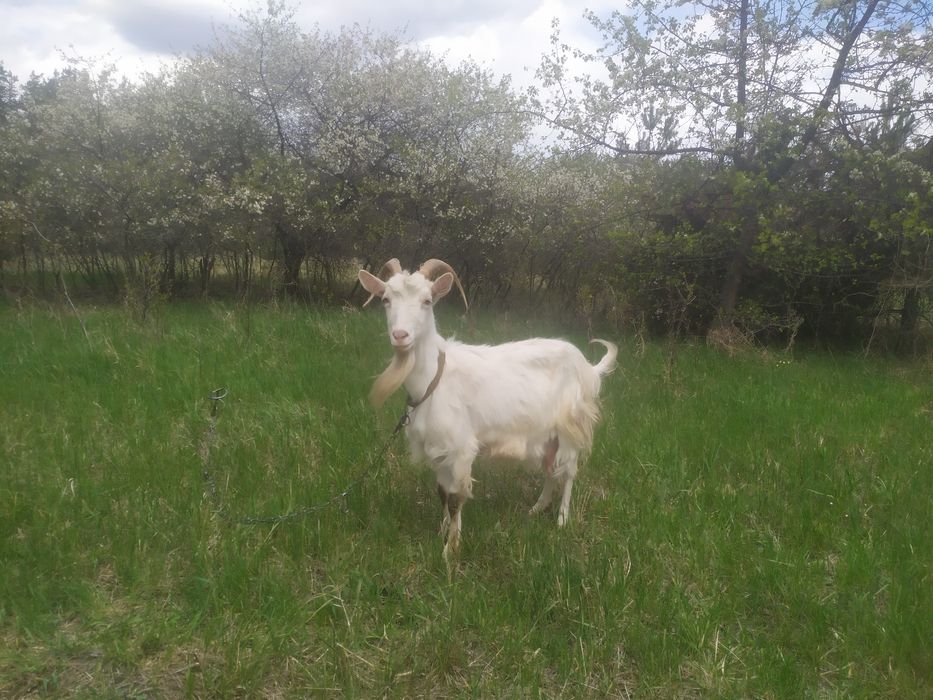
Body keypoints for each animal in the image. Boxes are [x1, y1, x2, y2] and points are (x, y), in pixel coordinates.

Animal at [359, 258, 617, 559]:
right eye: (386, 300)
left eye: (427, 300)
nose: (400, 335)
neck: (435, 377)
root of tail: (588, 368)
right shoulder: (437, 448)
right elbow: (442, 492)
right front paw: (442, 529)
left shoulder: (461, 448)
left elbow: (456, 498)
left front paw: (450, 549)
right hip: (547, 432)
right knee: (551, 469)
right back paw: (536, 508)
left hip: (571, 425)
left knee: (569, 471)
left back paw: (562, 520)